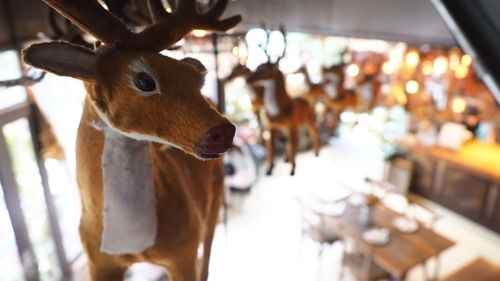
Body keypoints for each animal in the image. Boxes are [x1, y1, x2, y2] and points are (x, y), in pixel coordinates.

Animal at [23, 0, 240, 280]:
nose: (224, 132)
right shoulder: (97, 260)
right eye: (144, 80)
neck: (131, 242)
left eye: (195, 79)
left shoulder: (184, 250)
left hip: (213, 200)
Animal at [247, 26, 320, 175]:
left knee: (312, 132)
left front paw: (292, 169)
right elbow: (271, 147)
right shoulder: (272, 126)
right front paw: (269, 169)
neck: (279, 110)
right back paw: (287, 159)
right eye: (257, 66)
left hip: (308, 120)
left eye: (264, 70)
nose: (248, 79)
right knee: (290, 141)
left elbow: (291, 144)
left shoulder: (291, 124)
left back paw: (315, 153)